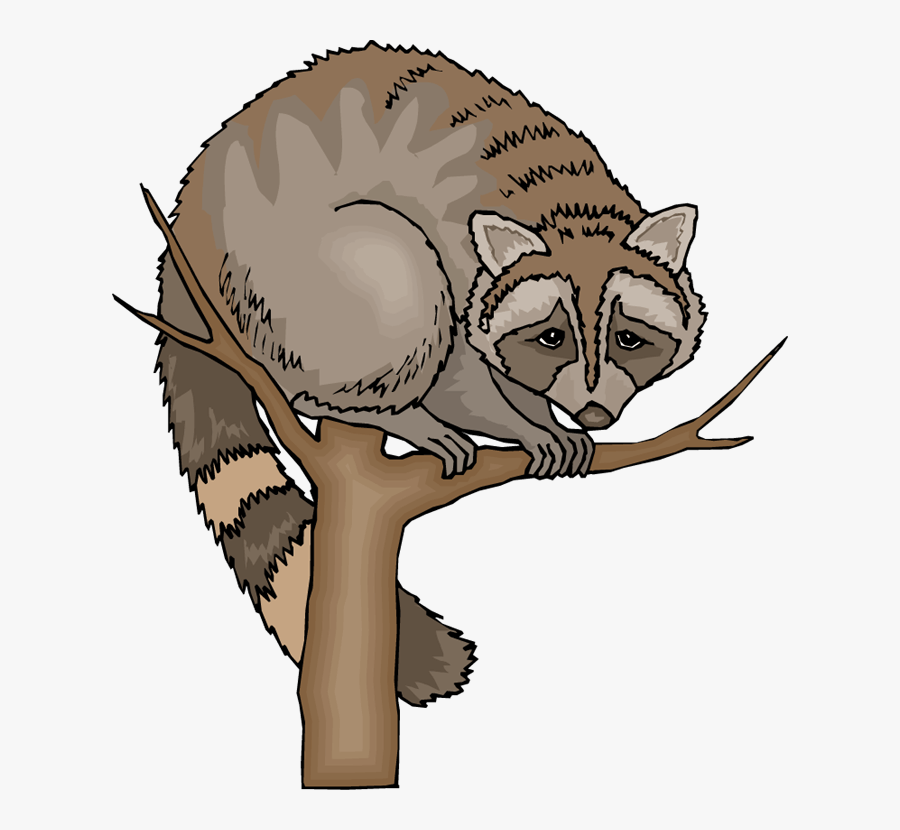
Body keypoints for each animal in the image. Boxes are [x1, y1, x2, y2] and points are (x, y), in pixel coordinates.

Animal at [155, 43, 705, 704]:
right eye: (551, 338)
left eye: (629, 339)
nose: (595, 412)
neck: (570, 215)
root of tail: (188, 225)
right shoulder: (459, 252)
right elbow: (458, 375)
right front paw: (523, 427)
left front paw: (546, 417)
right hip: (282, 280)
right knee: (394, 268)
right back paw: (373, 409)